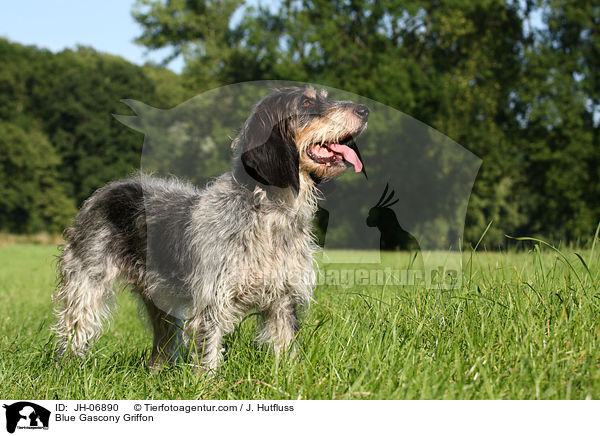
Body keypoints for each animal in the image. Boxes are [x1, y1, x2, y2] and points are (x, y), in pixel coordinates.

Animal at [54, 86, 368, 372]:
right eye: (306, 102)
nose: (364, 110)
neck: (270, 211)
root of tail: (108, 189)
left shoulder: (283, 298)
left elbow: (286, 345)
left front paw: (289, 378)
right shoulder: (212, 300)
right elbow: (209, 352)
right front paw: (209, 385)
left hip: (158, 297)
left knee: (162, 341)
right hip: (85, 285)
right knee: (74, 328)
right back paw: (68, 368)